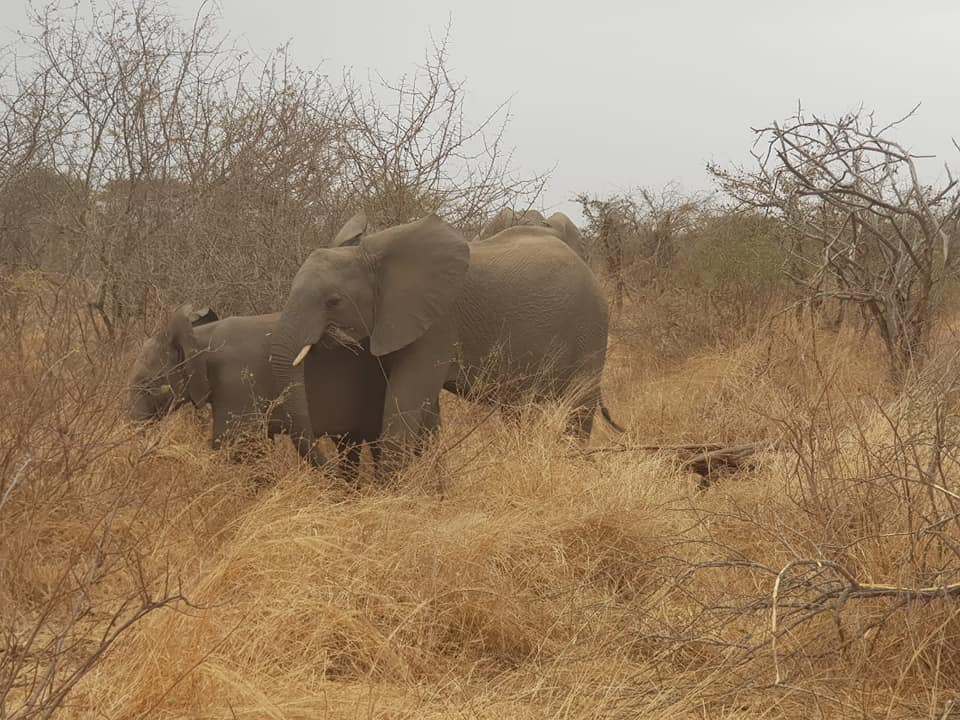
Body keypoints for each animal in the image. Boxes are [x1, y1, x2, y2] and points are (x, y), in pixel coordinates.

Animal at [269, 211, 622, 472]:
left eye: (333, 301)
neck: (372, 255)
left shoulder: (436, 324)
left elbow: (407, 402)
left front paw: (394, 495)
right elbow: (426, 414)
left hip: (590, 325)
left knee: (579, 404)